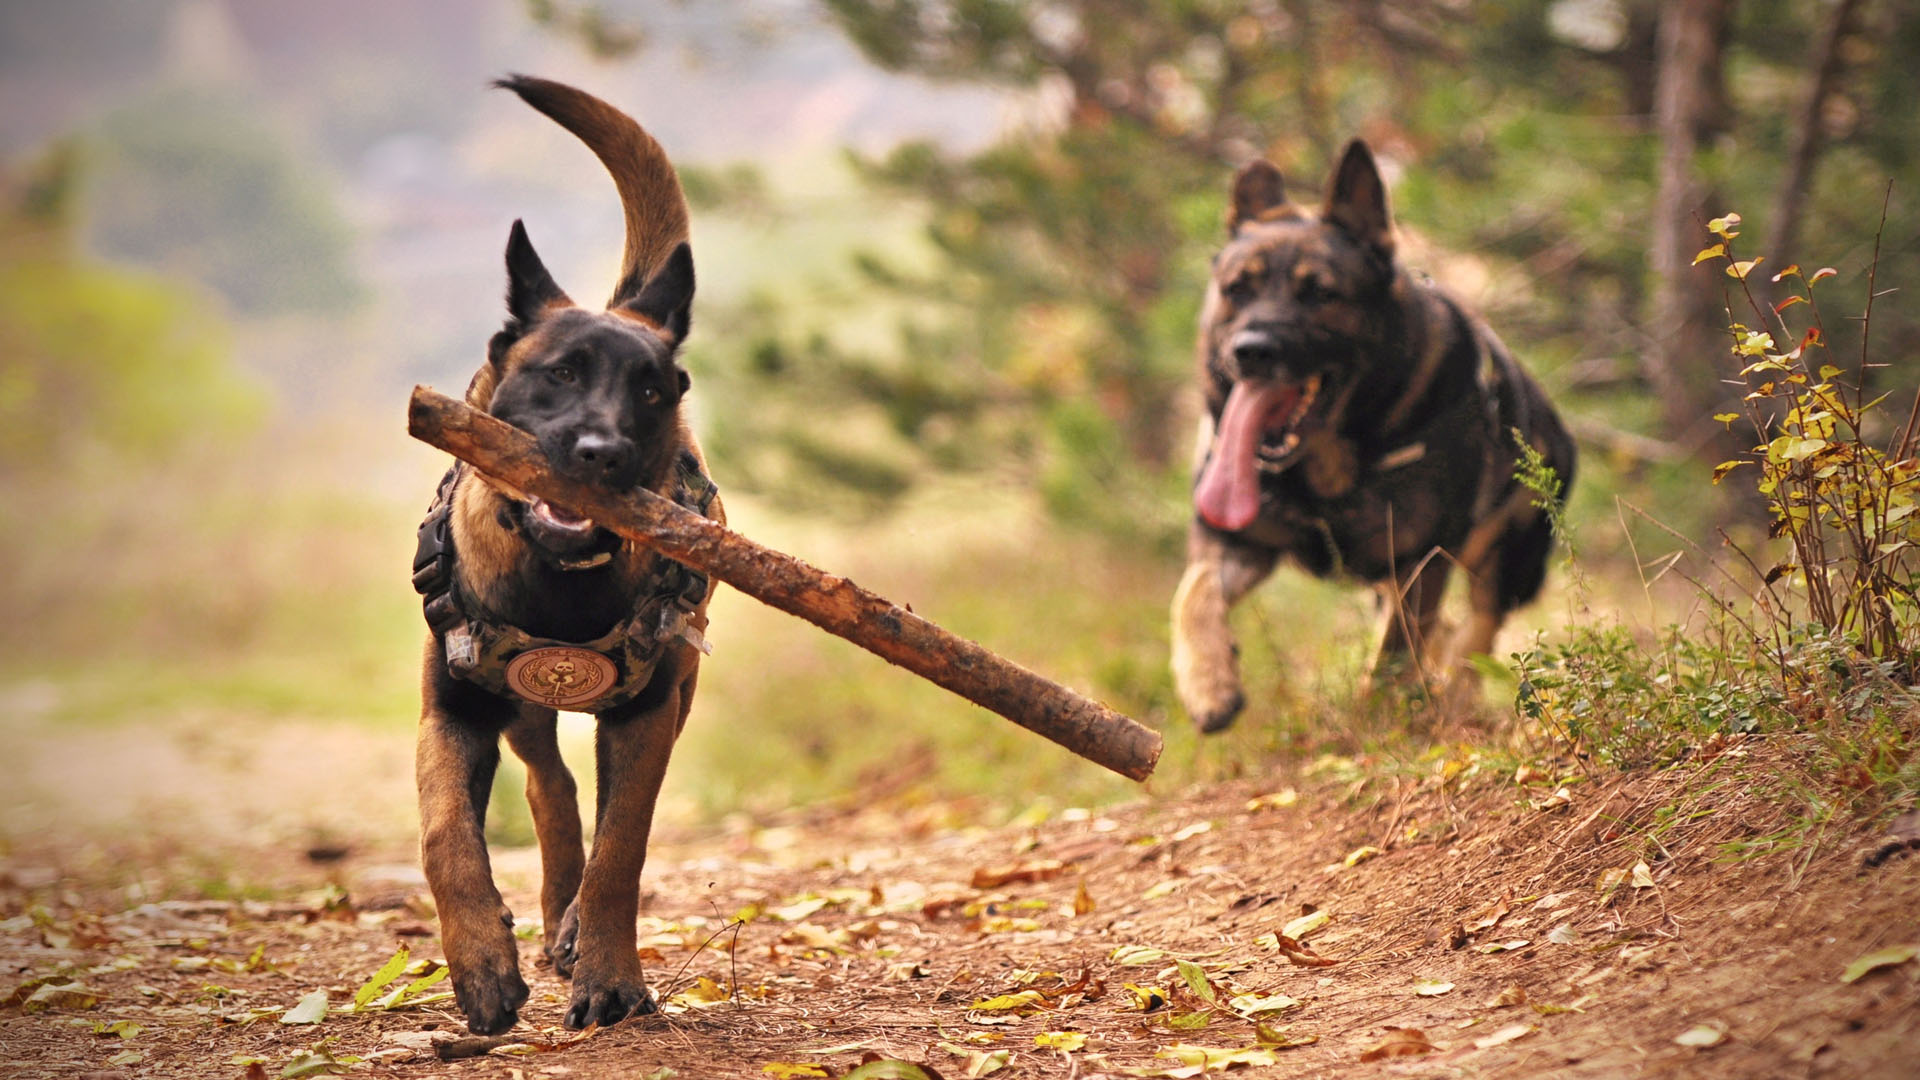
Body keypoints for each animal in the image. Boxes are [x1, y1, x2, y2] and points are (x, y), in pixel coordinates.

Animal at [408, 71, 718, 1030]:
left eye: (652, 390)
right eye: (562, 374)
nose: (602, 454)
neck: (560, 583)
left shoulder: (648, 714)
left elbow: (623, 849)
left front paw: (611, 975)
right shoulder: (453, 711)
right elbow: (446, 836)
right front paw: (480, 964)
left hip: (678, 692)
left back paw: (574, 928)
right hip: (518, 709)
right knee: (550, 786)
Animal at [1167, 141, 1574, 730]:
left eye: (1319, 294)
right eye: (1237, 290)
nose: (1251, 351)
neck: (1323, 469)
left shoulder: (1422, 563)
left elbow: (1390, 659)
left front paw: (1375, 722)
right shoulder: (1235, 542)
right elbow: (1192, 593)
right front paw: (1208, 683)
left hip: (1507, 563)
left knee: (1477, 631)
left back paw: (1453, 698)